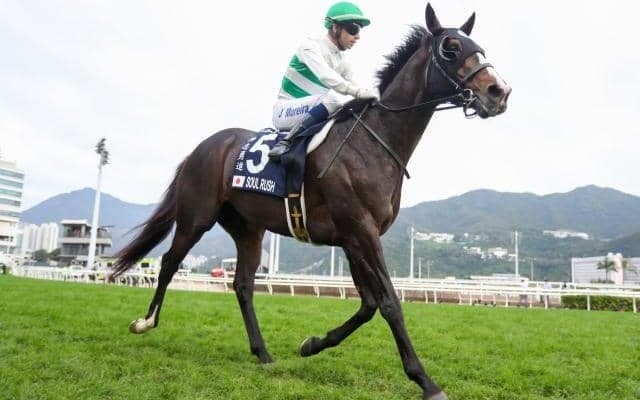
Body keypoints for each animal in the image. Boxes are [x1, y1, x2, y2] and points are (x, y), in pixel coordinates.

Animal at [112, 4, 511, 399]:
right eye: (451, 48)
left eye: (480, 48)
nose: (499, 91)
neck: (374, 142)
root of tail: (205, 146)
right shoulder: (362, 232)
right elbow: (389, 303)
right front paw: (426, 381)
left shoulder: (353, 238)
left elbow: (368, 304)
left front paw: (312, 344)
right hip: (198, 215)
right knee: (169, 262)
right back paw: (145, 322)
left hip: (248, 229)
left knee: (243, 284)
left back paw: (263, 352)